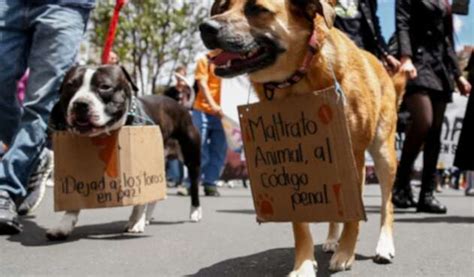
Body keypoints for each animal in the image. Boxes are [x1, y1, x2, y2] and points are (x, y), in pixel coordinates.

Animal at [198, 0, 406, 274]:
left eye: (257, 9)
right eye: (223, 6)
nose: (205, 27)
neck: (297, 80)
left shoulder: (353, 156)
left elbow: (354, 216)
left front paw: (345, 253)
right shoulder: (293, 164)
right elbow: (300, 224)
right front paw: (304, 265)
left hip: (383, 154)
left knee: (386, 205)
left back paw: (383, 245)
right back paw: (332, 240)